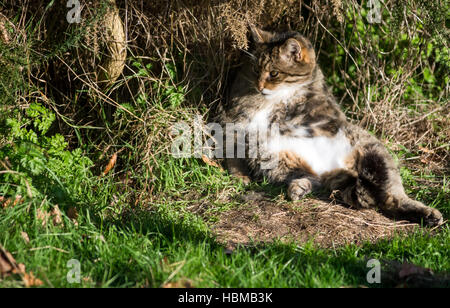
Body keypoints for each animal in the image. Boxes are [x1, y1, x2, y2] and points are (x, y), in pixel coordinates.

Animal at [220, 25, 444, 226]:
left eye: (274, 73)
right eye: (256, 70)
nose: (259, 86)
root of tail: (338, 169)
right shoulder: (235, 120)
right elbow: (233, 150)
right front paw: (240, 175)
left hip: (375, 152)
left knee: (391, 198)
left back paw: (428, 215)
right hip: (285, 166)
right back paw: (298, 188)